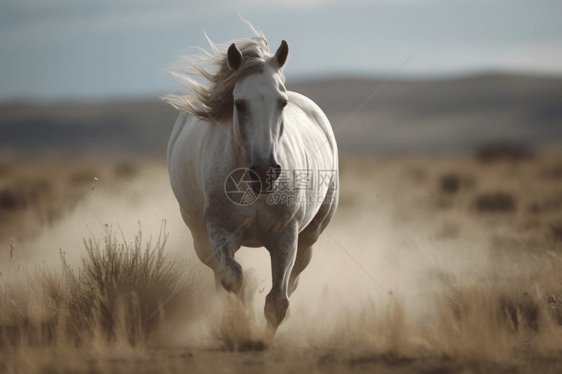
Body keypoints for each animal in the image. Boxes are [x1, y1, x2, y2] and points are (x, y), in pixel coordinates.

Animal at [164, 27, 334, 334]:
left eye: (282, 102)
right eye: (239, 103)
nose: (265, 171)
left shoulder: (285, 234)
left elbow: (278, 301)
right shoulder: (221, 229)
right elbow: (231, 277)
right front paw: (240, 326)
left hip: (310, 237)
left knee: (293, 280)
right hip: (199, 238)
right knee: (218, 275)